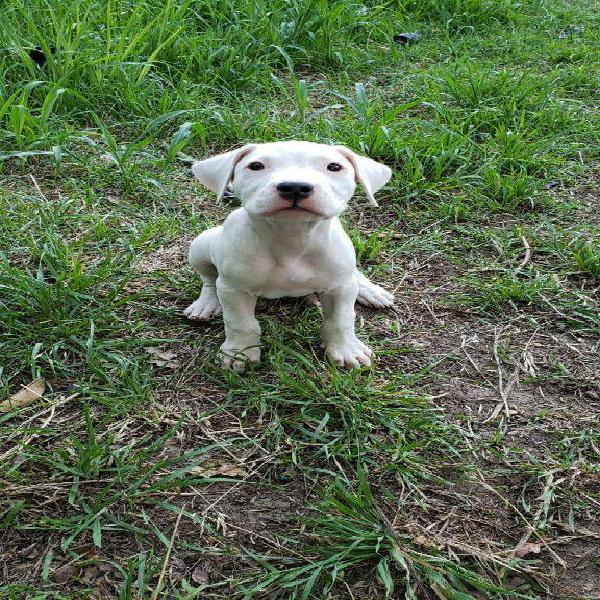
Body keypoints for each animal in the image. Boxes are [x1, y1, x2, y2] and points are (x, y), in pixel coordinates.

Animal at [185, 143, 396, 372]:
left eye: (334, 166)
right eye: (256, 166)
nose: (295, 187)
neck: (291, 238)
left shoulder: (339, 288)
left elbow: (341, 319)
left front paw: (346, 349)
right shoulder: (234, 289)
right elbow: (239, 323)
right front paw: (239, 352)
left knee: (353, 274)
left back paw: (371, 291)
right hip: (200, 246)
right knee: (209, 279)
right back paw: (206, 303)